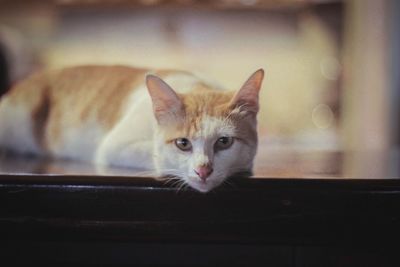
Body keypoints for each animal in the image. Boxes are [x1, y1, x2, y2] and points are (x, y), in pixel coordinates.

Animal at [0, 66, 264, 193]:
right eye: (183, 144)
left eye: (224, 142)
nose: (203, 171)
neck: (198, 86)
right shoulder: (113, 146)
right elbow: (157, 154)